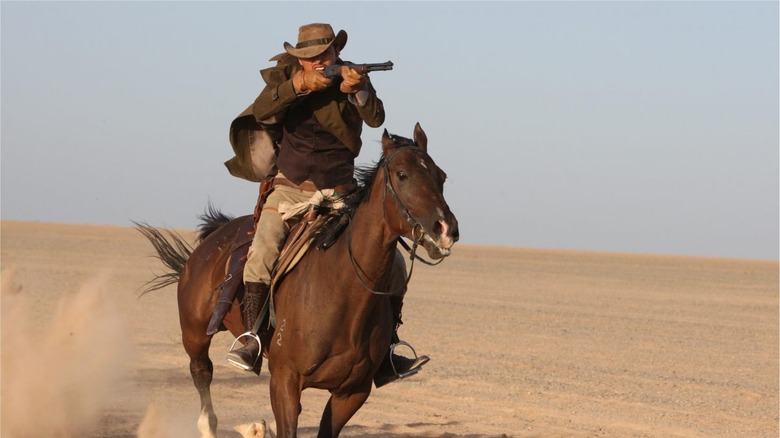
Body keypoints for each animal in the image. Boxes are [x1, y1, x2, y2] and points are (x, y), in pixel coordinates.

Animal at [137, 124, 460, 438]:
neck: (342, 294)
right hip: (195, 335)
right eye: (402, 175)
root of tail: (213, 238)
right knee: (202, 375)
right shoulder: (285, 381)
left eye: (441, 176)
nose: (446, 229)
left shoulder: (352, 392)